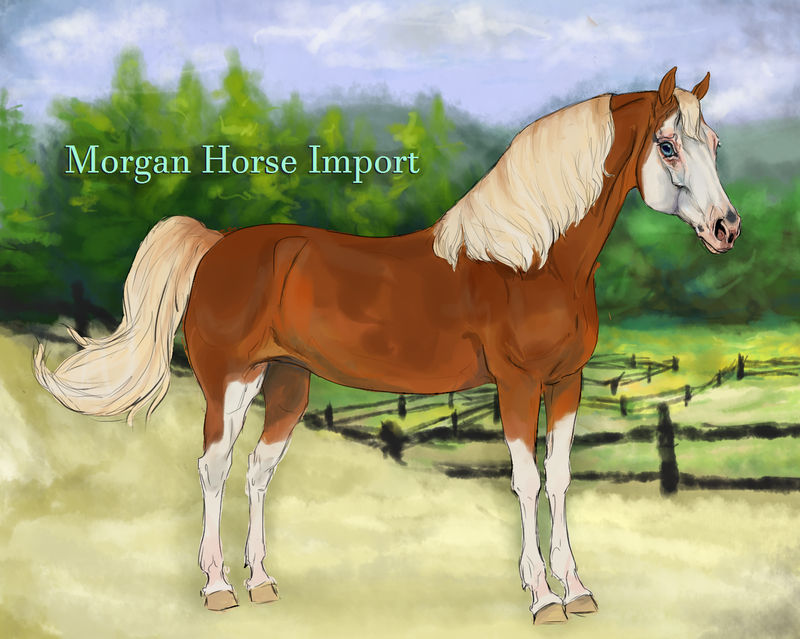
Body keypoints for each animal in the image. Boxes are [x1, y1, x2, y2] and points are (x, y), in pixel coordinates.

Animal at [33, 67, 739, 624]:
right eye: (668, 146)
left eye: (714, 144)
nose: (726, 228)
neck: (531, 260)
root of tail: (217, 244)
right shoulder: (516, 384)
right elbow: (526, 479)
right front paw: (542, 598)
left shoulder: (567, 383)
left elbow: (562, 478)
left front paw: (579, 590)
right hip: (231, 382)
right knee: (215, 469)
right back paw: (216, 588)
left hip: (287, 384)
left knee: (258, 472)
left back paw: (261, 583)